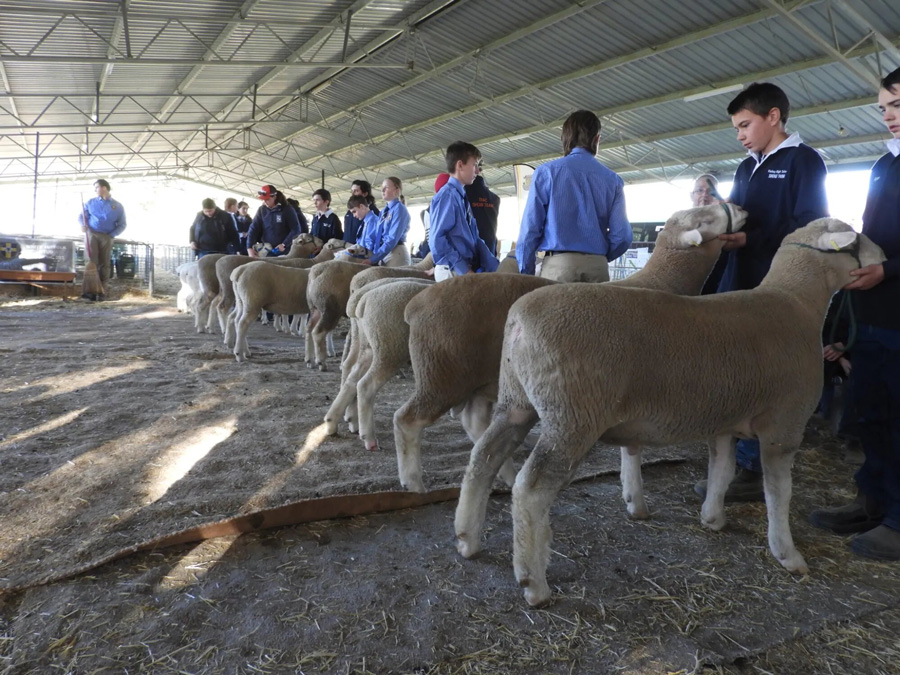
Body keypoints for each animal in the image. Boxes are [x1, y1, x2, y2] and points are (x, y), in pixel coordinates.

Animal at [393, 203, 749, 493]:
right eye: (704, 219)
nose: (741, 208)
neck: (661, 281)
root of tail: (415, 305)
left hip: (478, 378)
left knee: (476, 426)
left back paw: (503, 476)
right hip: (440, 372)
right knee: (407, 420)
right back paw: (413, 482)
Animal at [454, 219, 885, 607]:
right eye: (853, 238)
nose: (882, 260)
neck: (797, 303)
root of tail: (519, 321)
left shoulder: (723, 417)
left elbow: (722, 469)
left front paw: (712, 518)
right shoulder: (784, 425)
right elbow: (779, 493)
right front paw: (787, 554)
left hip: (517, 402)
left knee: (482, 459)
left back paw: (467, 540)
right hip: (572, 416)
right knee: (530, 489)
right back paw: (533, 584)